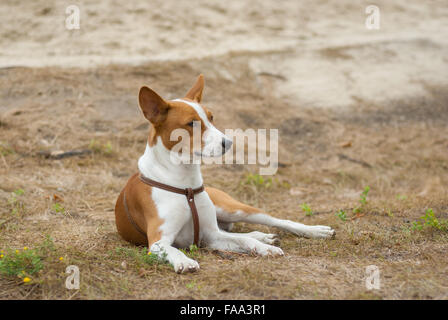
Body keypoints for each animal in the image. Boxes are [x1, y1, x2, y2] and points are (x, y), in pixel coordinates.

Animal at [114, 74, 334, 272]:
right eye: (191, 123)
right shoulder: (160, 241)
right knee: (245, 233)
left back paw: (313, 231)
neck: (186, 186)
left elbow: (245, 242)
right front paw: (184, 261)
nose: (228, 143)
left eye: (211, 118)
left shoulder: (211, 236)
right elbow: (175, 250)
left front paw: (265, 248)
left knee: (275, 221)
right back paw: (263, 235)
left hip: (233, 209)